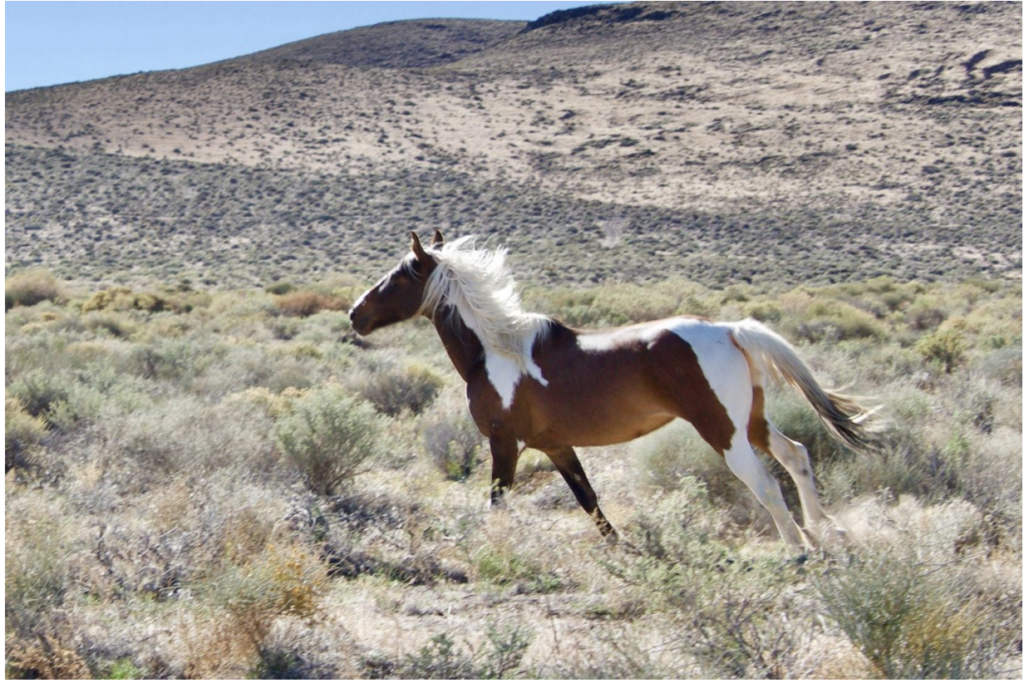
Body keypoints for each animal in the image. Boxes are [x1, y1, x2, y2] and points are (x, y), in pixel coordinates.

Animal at [349, 231, 876, 552]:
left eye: (398, 275)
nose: (355, 314)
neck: (495, 351)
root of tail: (729, 330)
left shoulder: (505, 443)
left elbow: (498, 502)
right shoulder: (557, 446)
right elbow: (589, 500)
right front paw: (622, 548)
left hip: (722, 429)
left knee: (764, 482)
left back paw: (799, 549)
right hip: (751, 421)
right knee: (797, 455)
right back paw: (828, 531)